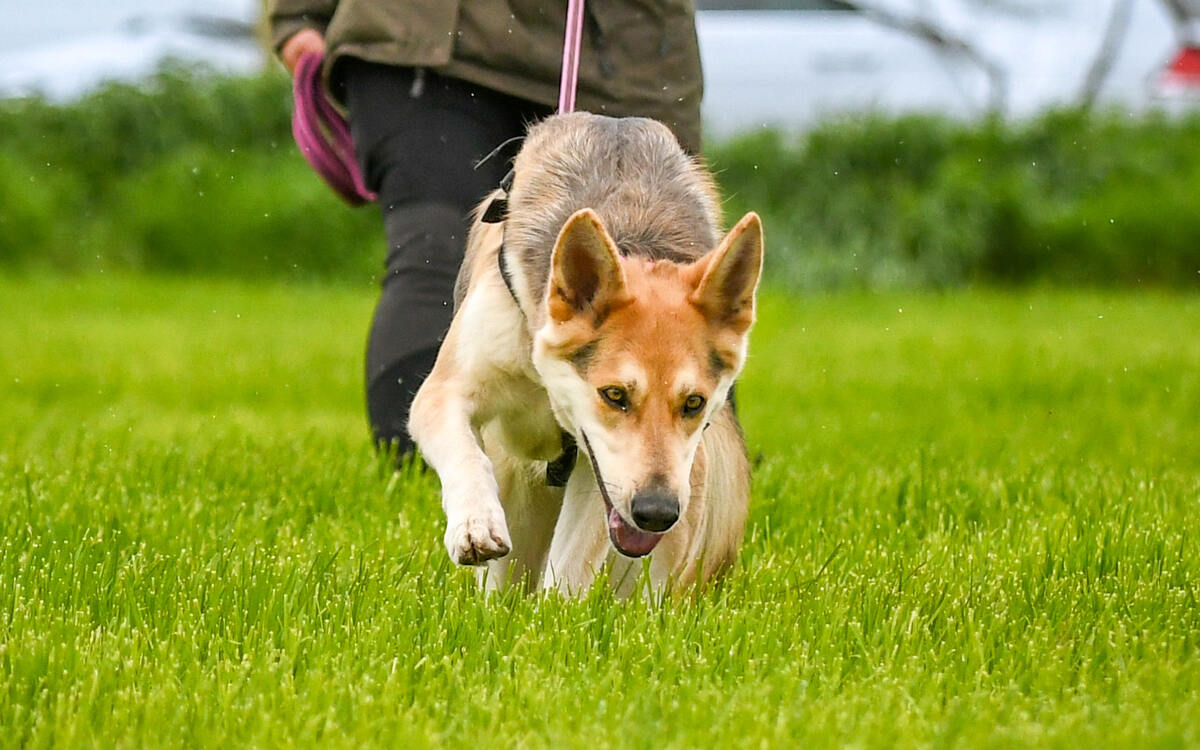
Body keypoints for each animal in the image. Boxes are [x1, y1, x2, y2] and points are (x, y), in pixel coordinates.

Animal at [408, 111, 763, 592]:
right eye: (614, 395)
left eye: (694, 403)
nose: (656, 513)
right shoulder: (446, 391)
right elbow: (464, 452)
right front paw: (474, 524)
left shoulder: (600, 477)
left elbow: (569, 570)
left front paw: (552, 613)